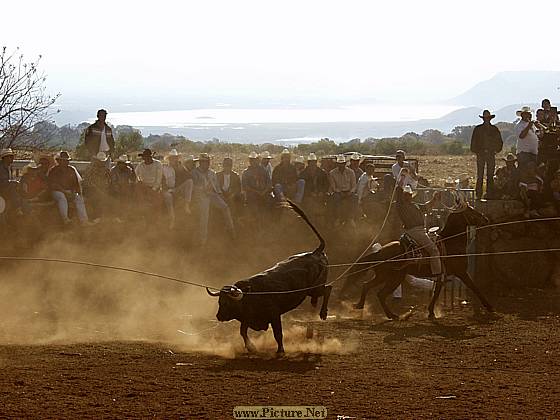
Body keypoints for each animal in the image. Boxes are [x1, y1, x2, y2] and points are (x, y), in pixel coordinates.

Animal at [207, 201, 330, 354]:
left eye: (226, 303)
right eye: (219, 301)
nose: (218, 316)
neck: (251, 295)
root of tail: (315, 252)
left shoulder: (274, 315)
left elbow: (278, 333)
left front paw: (280, 350)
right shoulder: (248, 318)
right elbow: (242, 331)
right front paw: (251, 347)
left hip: (315, 288)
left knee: (328, 289)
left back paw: (323, 314)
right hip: (312, 291)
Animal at [342, 203, 494, 318]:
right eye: (472, 211)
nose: (486, 219)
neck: (451, 242)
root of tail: (379, 252)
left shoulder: (442, 276)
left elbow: (436, 292)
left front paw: (431, 312)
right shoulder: (461, 272)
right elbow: (474, 287)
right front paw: (489, 307)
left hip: (384, 276)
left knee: (367, 286)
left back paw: (361, 306)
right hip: (393, 277)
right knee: (380, 294)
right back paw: (392, 315)